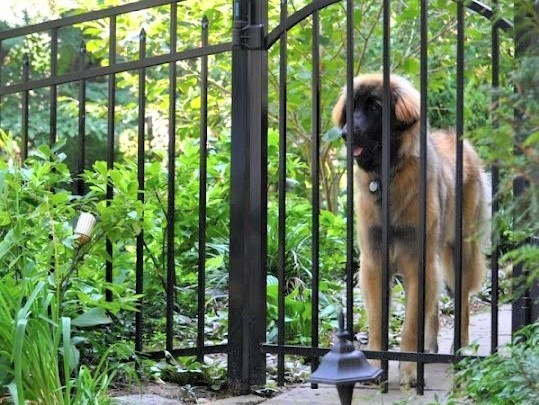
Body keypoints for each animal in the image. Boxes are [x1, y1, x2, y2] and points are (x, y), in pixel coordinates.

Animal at [332, 74, 492, 386]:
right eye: (352, 106)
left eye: (375, 107)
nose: (345, 134)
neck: (388, 176)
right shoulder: (375, 263)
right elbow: (379, 321)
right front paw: (376, 366)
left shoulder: (418, 262)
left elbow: (411, 322)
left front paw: (407, 371)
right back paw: (429, 347)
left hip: (460, 251)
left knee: (462, 302)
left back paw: (461, 347)